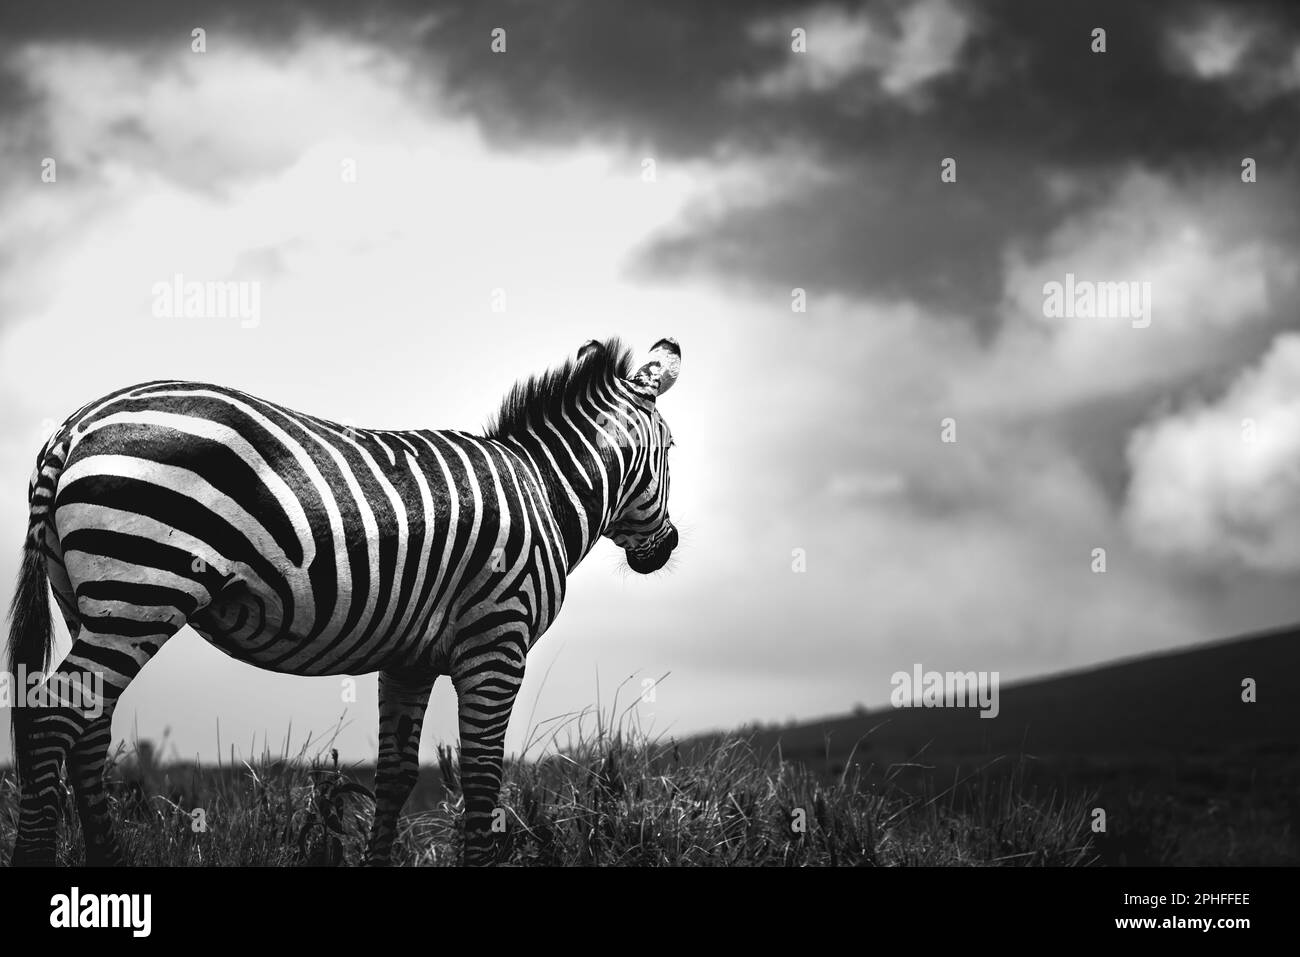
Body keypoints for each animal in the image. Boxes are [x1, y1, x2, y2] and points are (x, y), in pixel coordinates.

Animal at [5, 336, 681, 866]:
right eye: (671, 449)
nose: (669, 546)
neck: (543, 489)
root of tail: (73, 427)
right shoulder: (497, 641)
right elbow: (484, 780)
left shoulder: (409, 659)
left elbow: (395, 776)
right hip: (142, 587)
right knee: (53, 716)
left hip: (93, 602)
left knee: (88, 729)